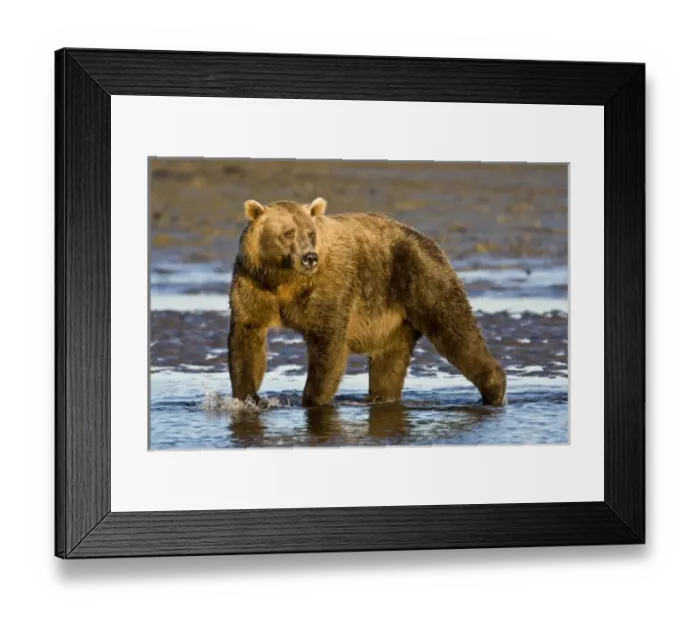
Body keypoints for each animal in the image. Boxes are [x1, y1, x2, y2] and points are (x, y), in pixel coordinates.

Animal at [227, 197, 507, 408]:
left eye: (310, 232)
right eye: (288, 233)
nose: (309, 257)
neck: (284, 280)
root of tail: (430, 240)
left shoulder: (329, 288)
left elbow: (328, 343)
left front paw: (313, 400)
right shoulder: (252, 284)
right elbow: (246, 341)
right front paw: (246, 398)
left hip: (421, 279)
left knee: (455, 331)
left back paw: (494, 390)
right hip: (394, 317)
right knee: (389, 363)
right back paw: (380, 399)